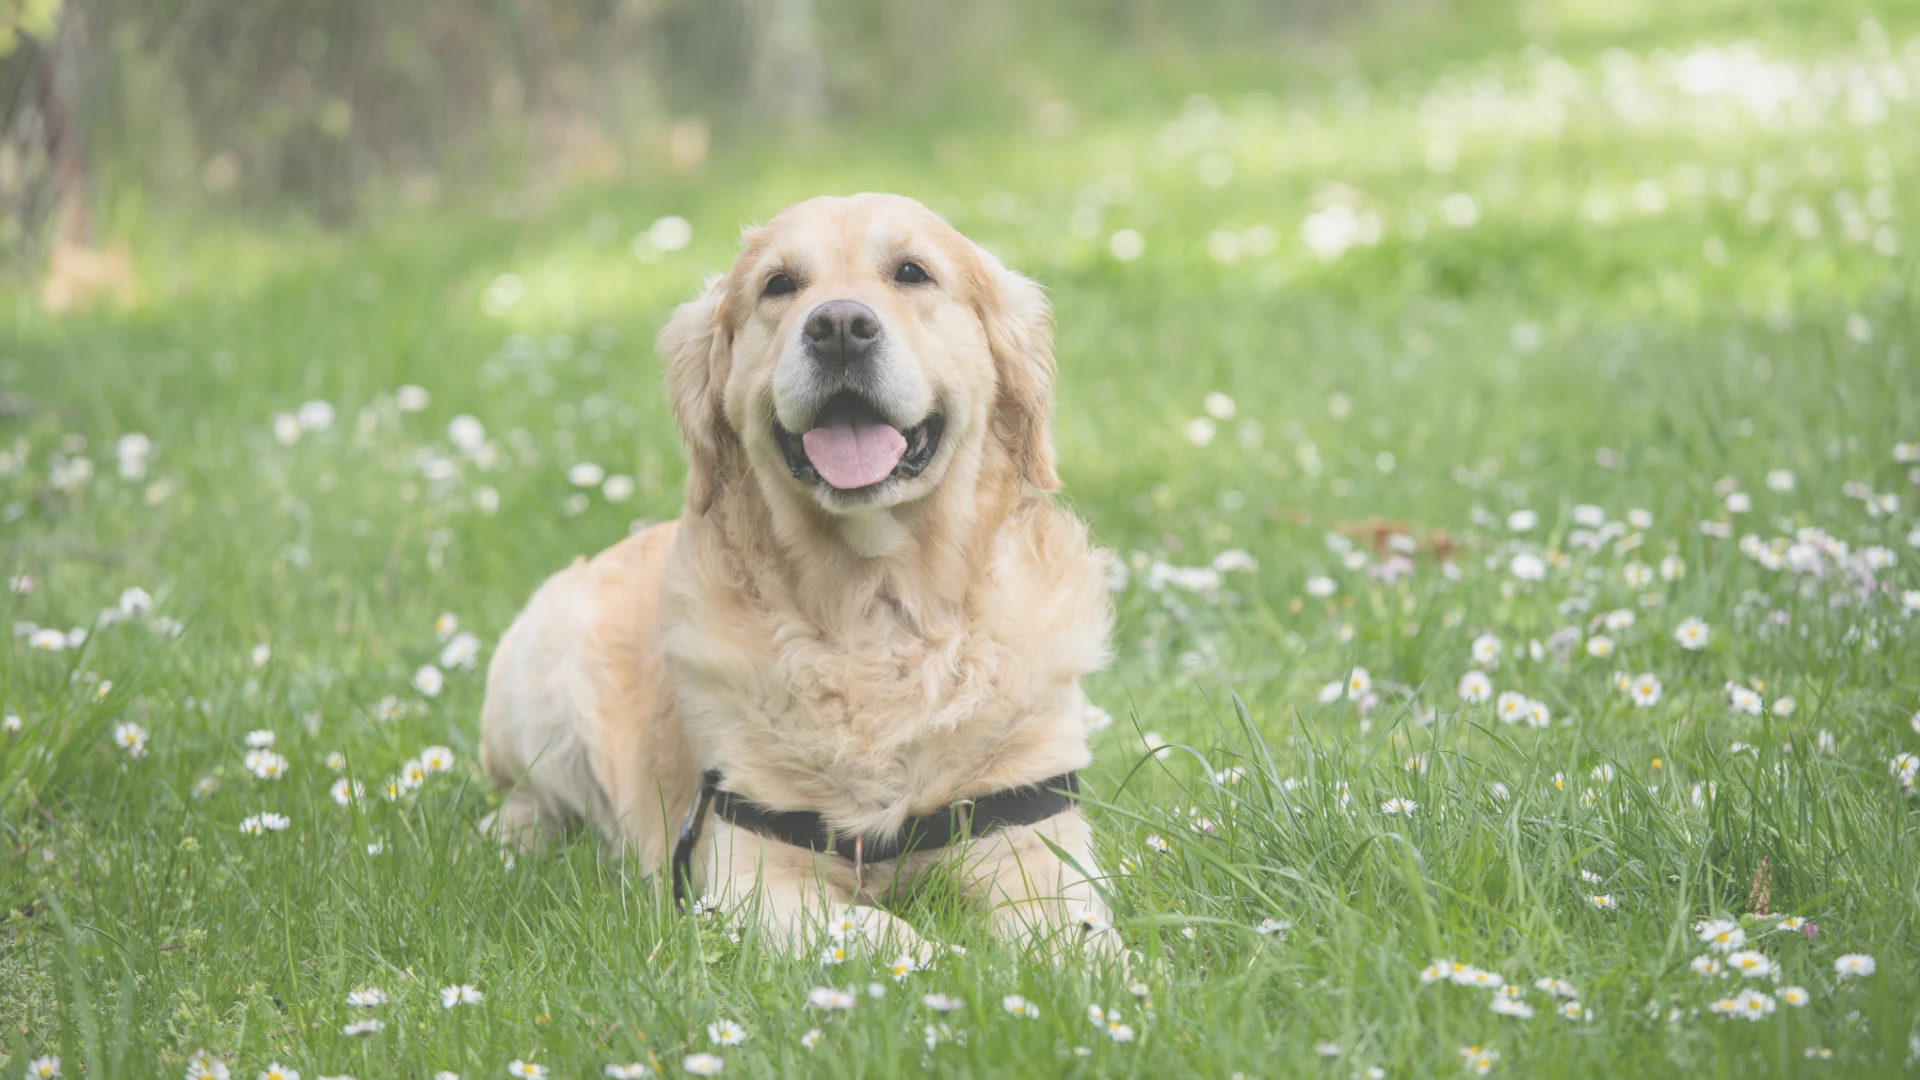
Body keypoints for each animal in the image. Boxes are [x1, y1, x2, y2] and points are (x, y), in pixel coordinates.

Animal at [472, 193, 1121, 949]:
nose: (839, 326)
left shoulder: (1032, 837)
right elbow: (889, 935)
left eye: (912, 272)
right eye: (779, 285)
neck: (877, 607)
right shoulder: (749, 875)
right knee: (524, 798)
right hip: (538, 667)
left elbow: (1077, 937)